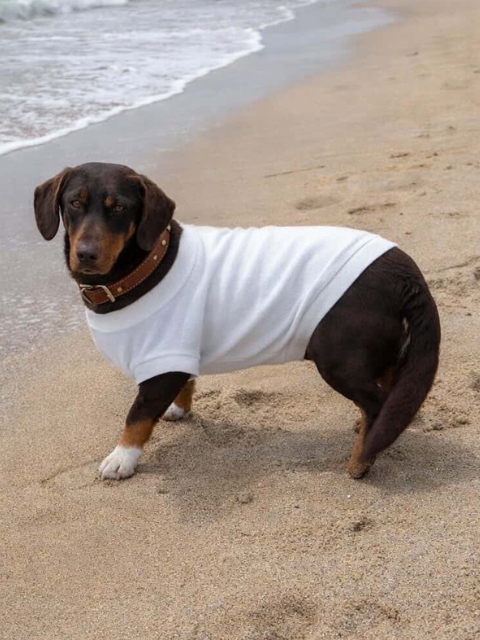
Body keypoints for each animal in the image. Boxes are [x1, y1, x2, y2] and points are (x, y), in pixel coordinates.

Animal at [34, 162, 441, 481]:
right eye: (74, 203)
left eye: (119, 207)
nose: (86, 254)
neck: (146, 265)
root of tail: (403, 268)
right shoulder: (181, 354)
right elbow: (184, 385)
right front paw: (178, 410)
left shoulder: (163, 359)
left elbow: (137, 416)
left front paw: (121, 458)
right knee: (392, 390)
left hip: (339, 358)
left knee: (376, 402)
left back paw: (361, 458)